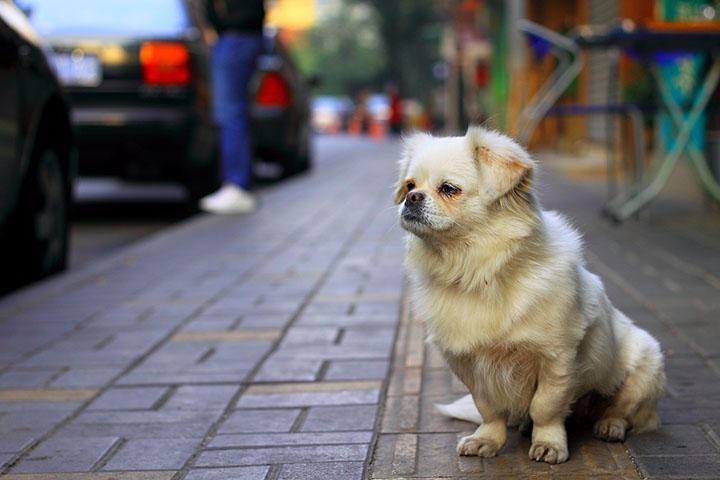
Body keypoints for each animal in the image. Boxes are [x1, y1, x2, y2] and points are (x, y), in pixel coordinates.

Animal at [396, 125, 668, 464]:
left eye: (448, 189)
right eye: (409, 185)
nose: (411, 198)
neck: (478, 271)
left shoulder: (557, 358)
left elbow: (546, 407)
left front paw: (549, 444)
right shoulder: (469, 364)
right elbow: (489, 408)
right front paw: (487, 440)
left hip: (645, 366)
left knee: (621, 410)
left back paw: (609, 425)